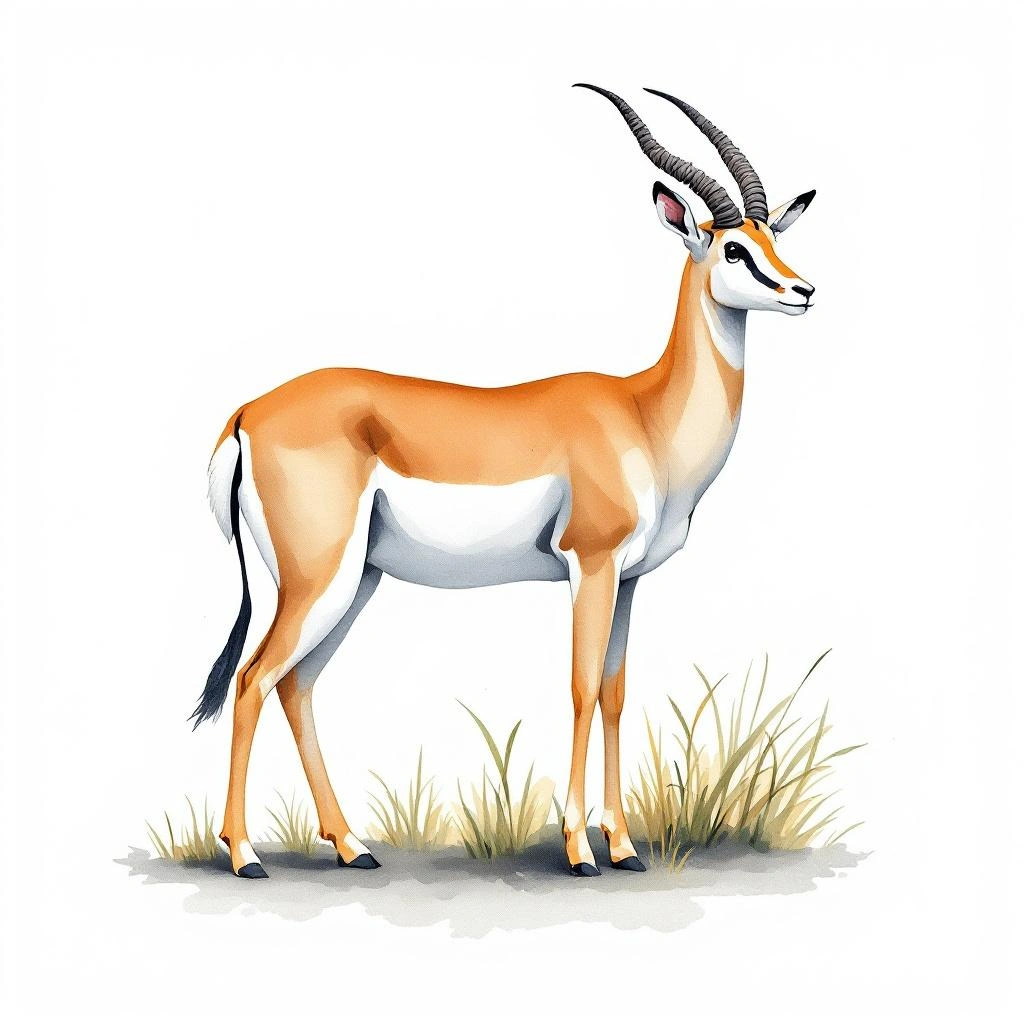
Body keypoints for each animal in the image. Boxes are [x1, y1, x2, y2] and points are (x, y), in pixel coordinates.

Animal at [193, 85, 817, 878]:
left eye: (774, 239)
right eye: (734, 246)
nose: (805, 290)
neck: (644, 414)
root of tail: (248, 410)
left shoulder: (628, 580)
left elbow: (615, 693)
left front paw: (624, 848)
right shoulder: (590, 563)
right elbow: (581, 688)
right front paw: (581, 852)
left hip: (355, 580)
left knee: (296, 686)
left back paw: (353, 847)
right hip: (318, 579)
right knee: (252, 682)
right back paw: (245, 854)